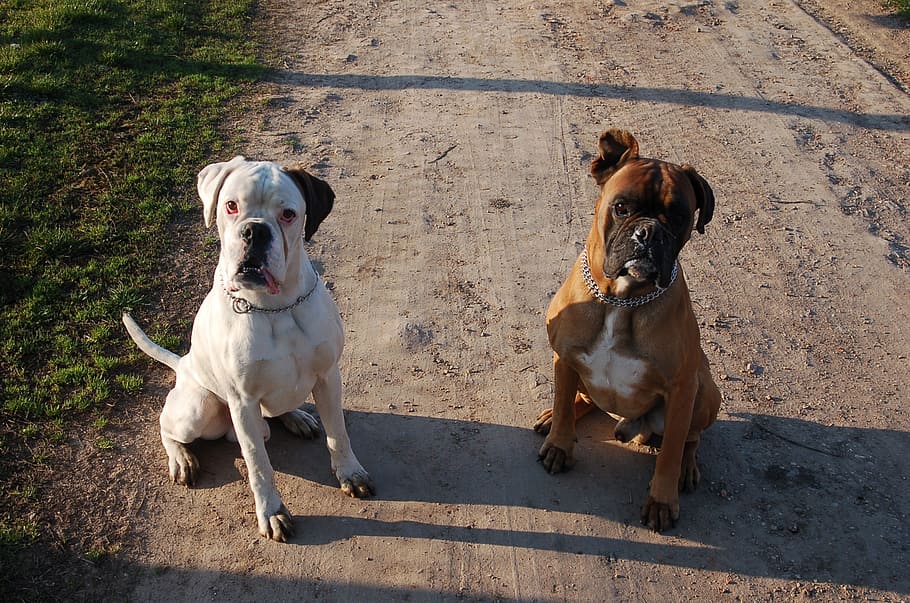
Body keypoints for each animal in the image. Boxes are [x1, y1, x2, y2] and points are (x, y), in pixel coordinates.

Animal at [124, 156, 374, 544]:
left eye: (288, 214)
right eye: (231, 206)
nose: (255, 231)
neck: (275, 307)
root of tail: (183, 365)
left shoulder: (328, 376)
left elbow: (339, 434)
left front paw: (350, 473)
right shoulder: (242, 402)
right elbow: (259, 465)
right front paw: (272, 513)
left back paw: (297, 416)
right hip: (198, 408)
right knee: (167, 426)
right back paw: (181, 459)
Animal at [536, 129, 724, 532]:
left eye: (680, 217)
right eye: (622, 207)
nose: (649, 233)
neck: (620, 301)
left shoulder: (682, 388)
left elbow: (670, 451)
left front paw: (662, 500)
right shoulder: (564, 357)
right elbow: (562, 401)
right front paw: (560, 443)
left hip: (705, 390)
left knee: (689, 438)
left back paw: (687, 468)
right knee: (578, 399)